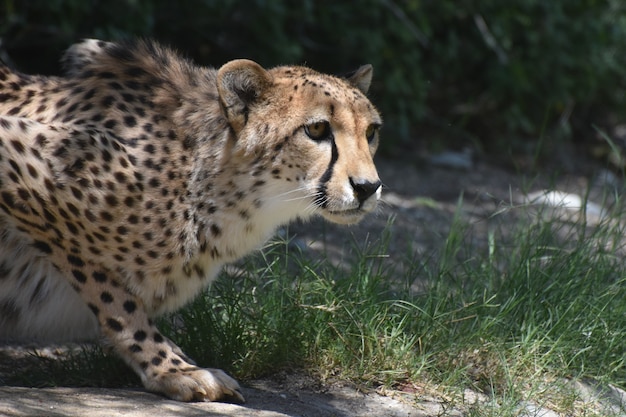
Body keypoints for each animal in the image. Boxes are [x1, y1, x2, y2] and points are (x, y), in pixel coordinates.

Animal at [0, 39, 380, 400]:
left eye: (371, 132)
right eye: (316, 129)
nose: (368, 187)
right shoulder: (21, 158)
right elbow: (113, 295)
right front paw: (171, 369)